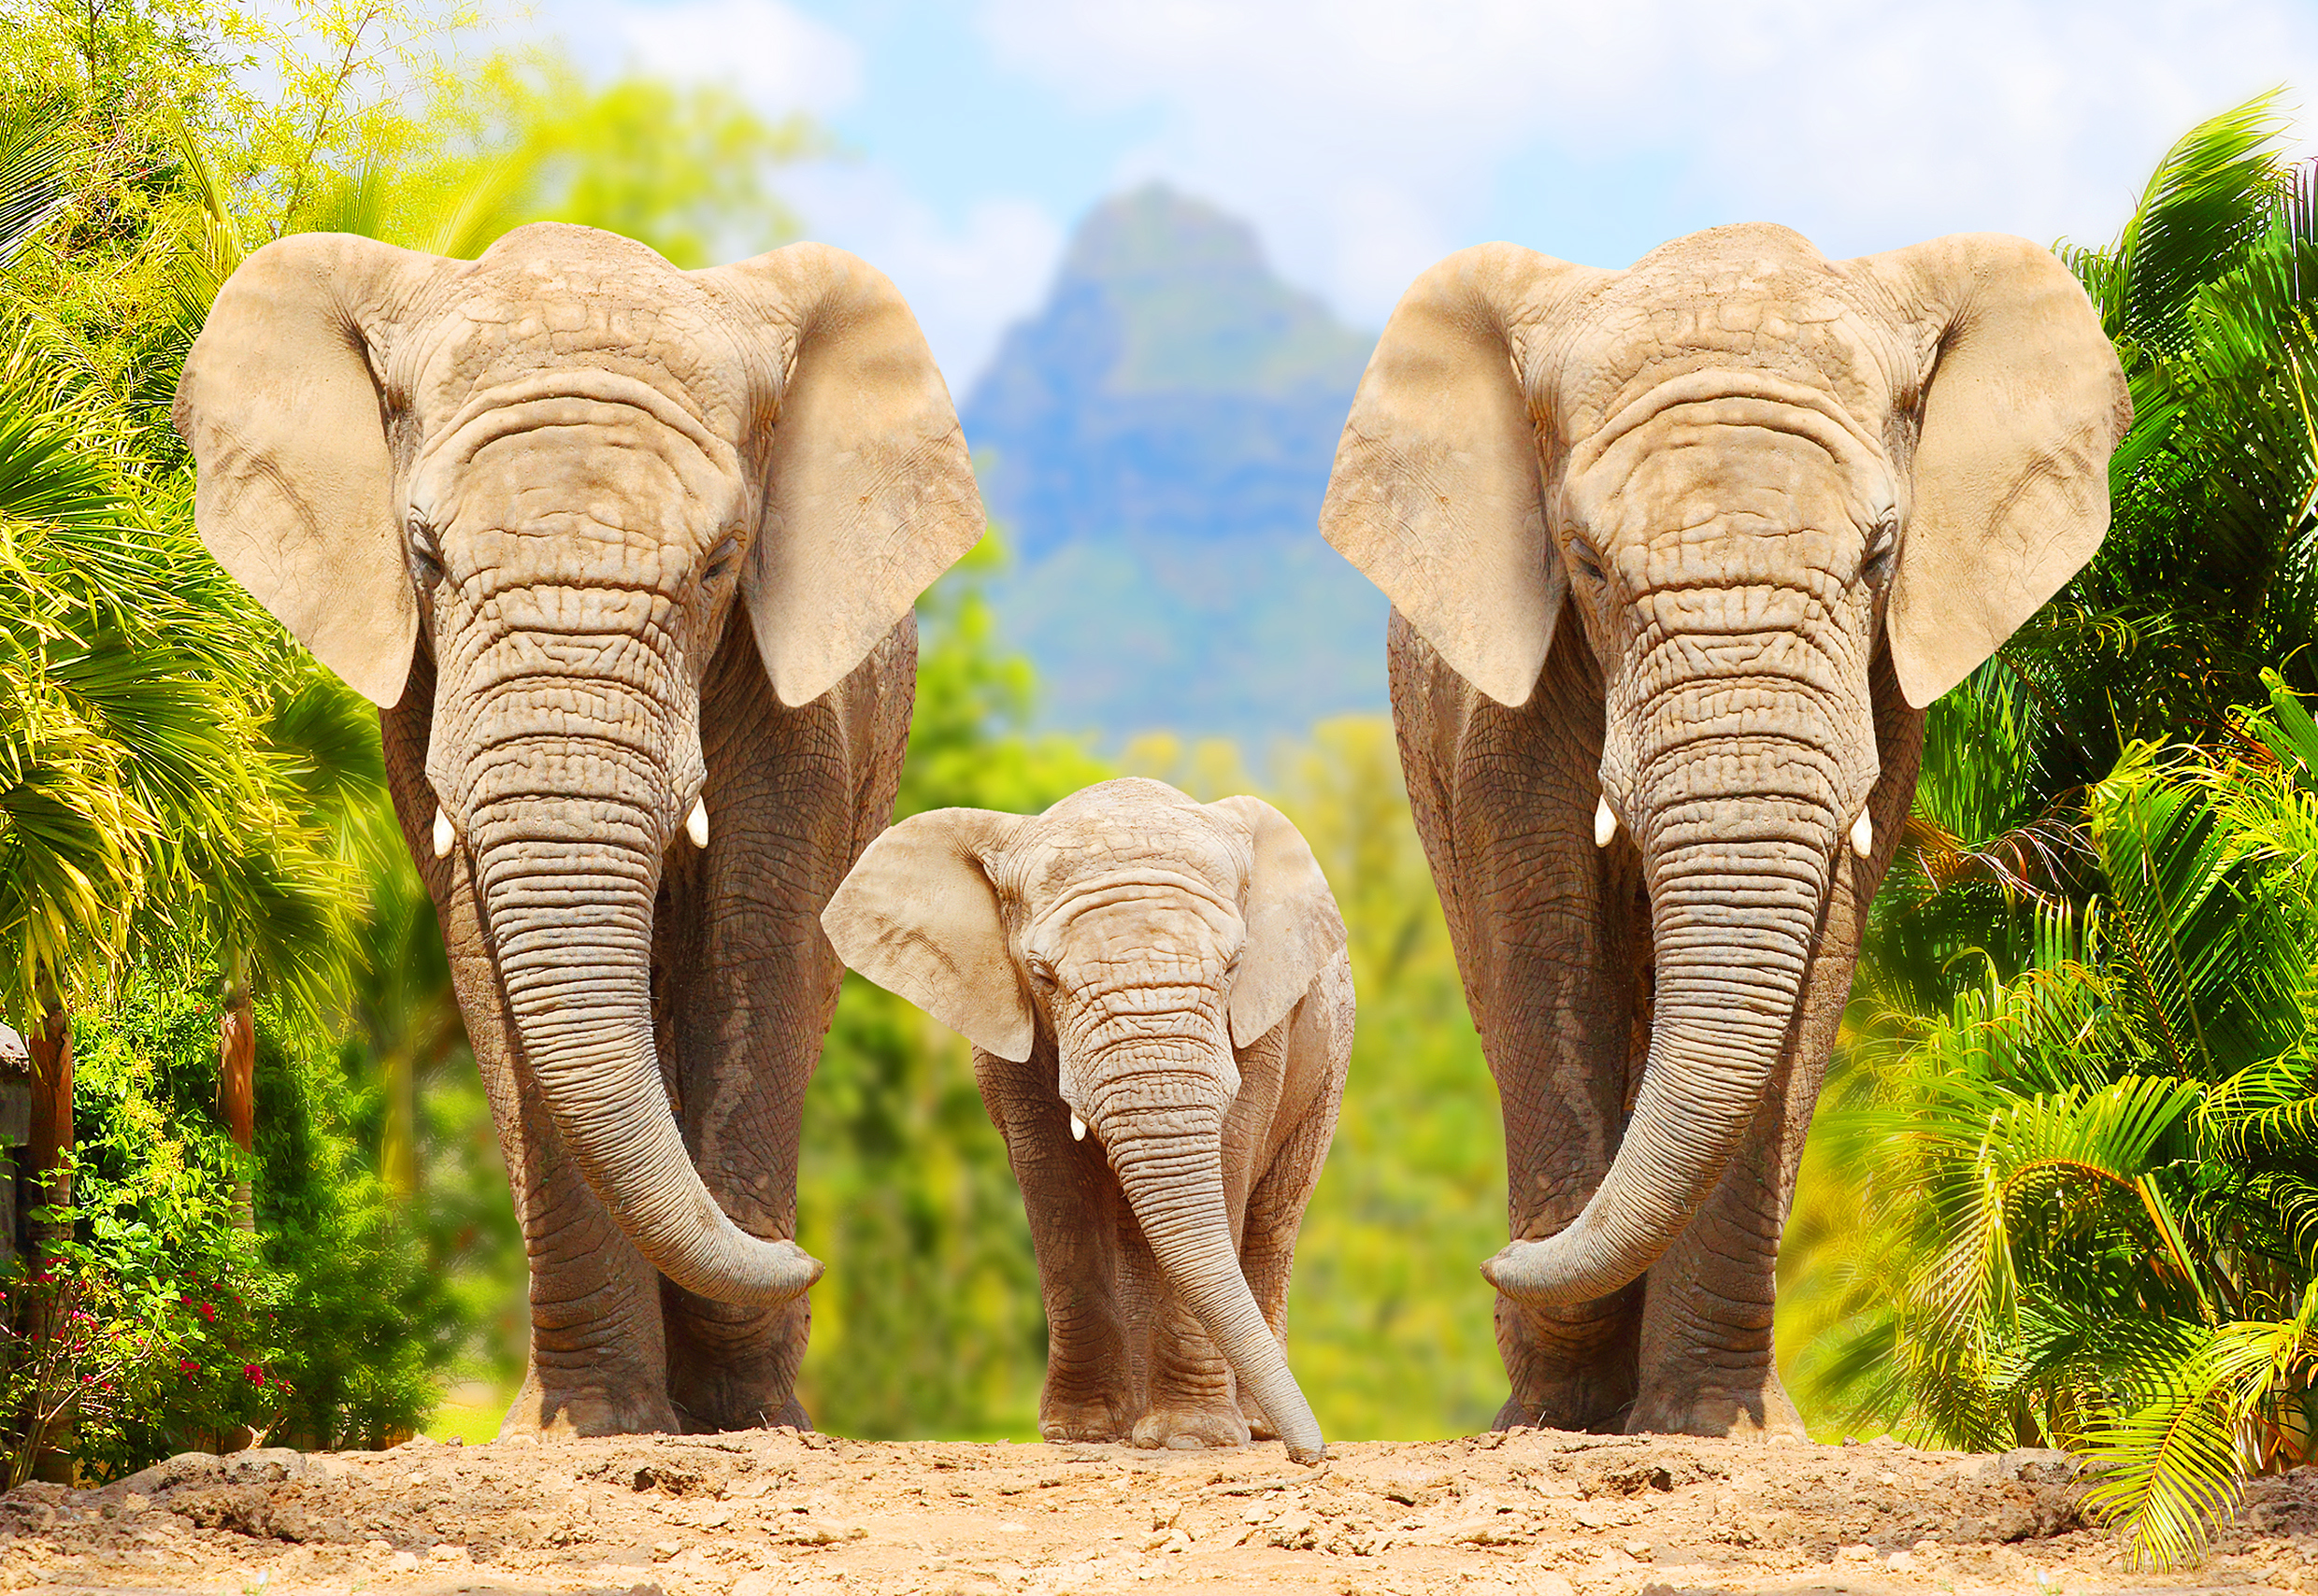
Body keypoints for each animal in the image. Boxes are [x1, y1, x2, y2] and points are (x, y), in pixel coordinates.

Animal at [176, 221, 982, 1435]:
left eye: (721, 560)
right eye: (423, 555)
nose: (807, 1261)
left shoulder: (801, 709)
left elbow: (757, 947)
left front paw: (749, 1419)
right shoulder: (420, 696)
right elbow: (486, 962)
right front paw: (595, 1425)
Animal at [824, 777, 1353, 1463]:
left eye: (1234, 966)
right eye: (1043, 976)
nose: (1310, 1455)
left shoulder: (1262, 1026)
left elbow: (1231, 1159)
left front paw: (1190, 1439)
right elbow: (1056, 1186)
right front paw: (1083, 1433)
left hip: (1330, 1067)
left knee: (1271, 1220)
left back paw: (1251, 1426)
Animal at [1325, 221, 2132, 1435]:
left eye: (1879, 554)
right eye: (1583, 559)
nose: (1492, 1263)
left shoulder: (1881, 698)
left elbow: (1814, 966)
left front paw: (1710, 1424)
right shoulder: (1501, 712)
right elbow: (1543, 946)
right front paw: (1555, 1415)